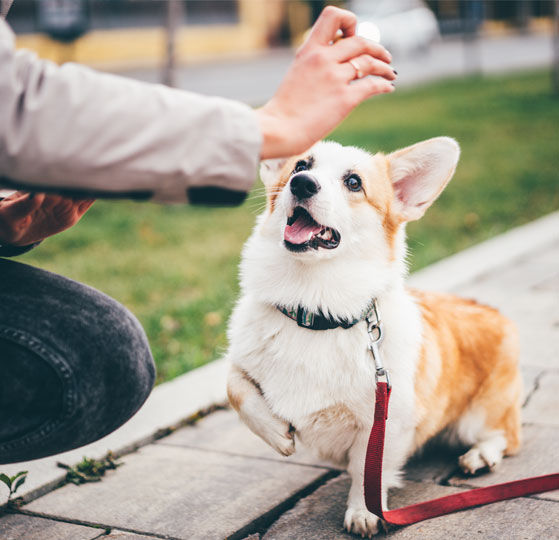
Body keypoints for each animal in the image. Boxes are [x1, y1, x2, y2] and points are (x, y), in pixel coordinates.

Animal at [225, 138, 524, 536]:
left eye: (353, 182)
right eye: (301, 165)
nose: (301, 183)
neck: (314, 308)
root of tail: (492, 310)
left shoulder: (384, 421)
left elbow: (367, 470)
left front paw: (363, 512)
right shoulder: (241, 360)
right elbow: (236, 386)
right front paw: (276, 434)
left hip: (478, 417)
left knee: (506, 435)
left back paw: (479, 457)